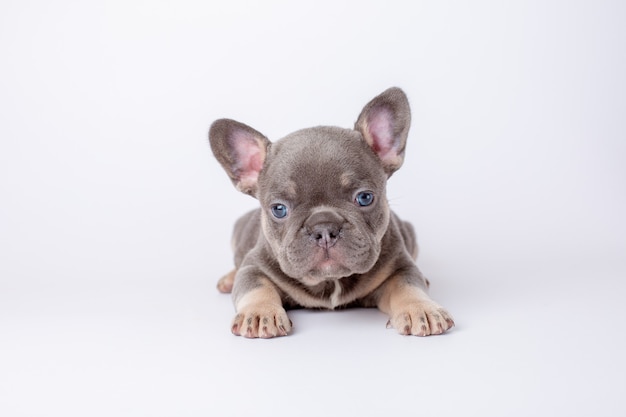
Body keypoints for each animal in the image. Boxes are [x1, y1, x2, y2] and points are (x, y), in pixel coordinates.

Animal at [210, 88, 454, 338]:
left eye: (365, 198)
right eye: (279, 209)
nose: (324, 228)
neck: (331, 280)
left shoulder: (399, 266)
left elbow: (408, 285)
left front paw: (420, 309)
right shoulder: (254, 266)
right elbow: (256, 287)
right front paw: (260, 313)